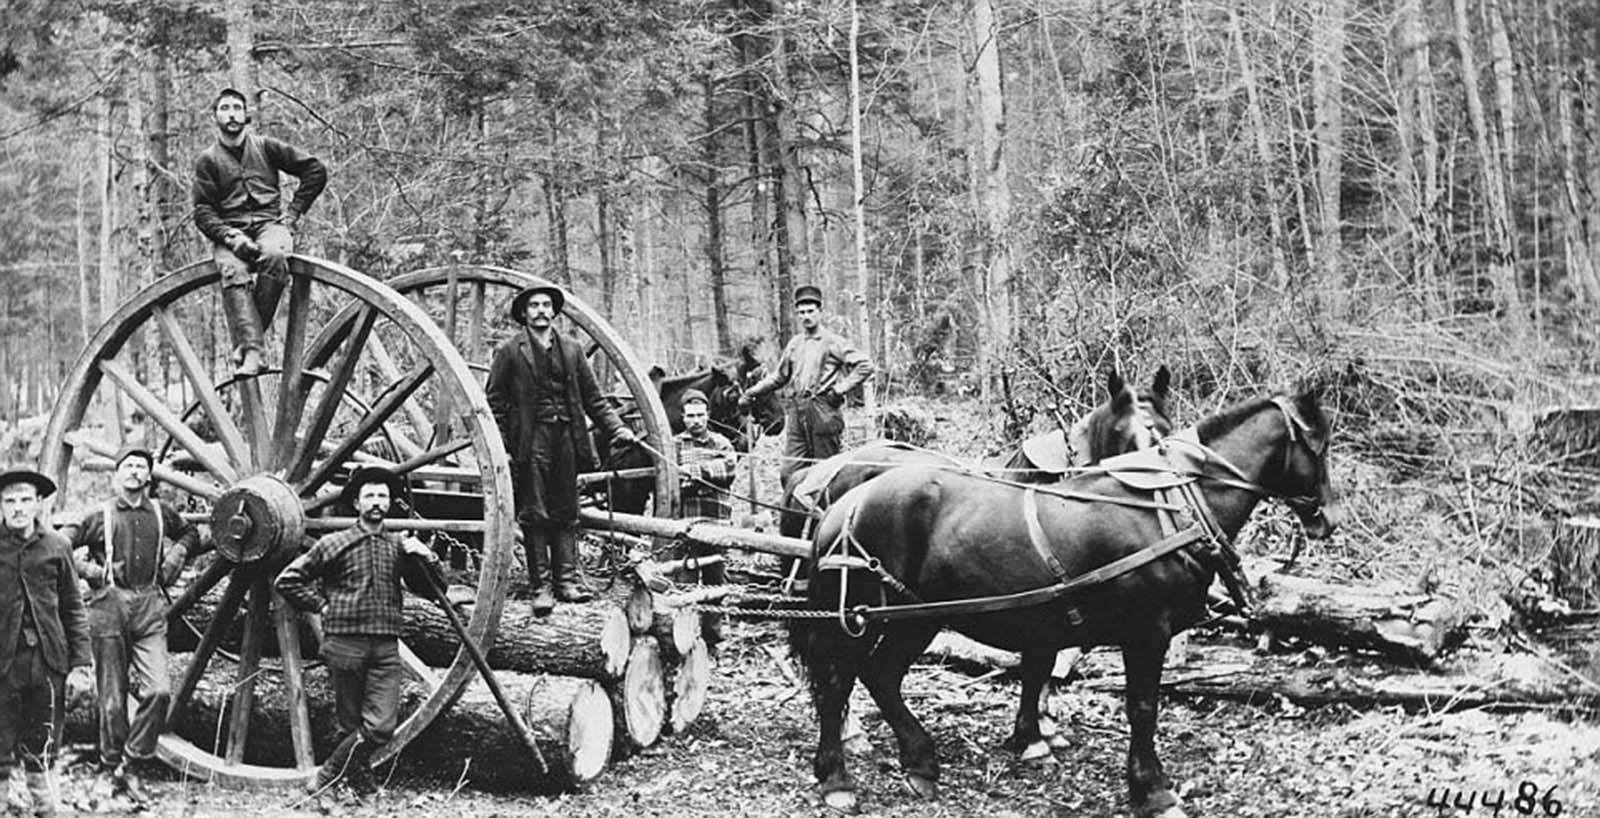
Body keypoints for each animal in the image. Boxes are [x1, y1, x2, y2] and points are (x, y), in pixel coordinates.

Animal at [793, 390, 1344, 818]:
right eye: (1318, 444)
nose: (1330, 518)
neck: (1171, 510)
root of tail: (844, 503)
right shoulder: (1146, 631)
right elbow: (1142, 707)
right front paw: (1153, 790)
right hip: (864, 617)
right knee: (841, 682)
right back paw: (837, 777)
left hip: (914, 618)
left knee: (880, 676)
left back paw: (920, 762)